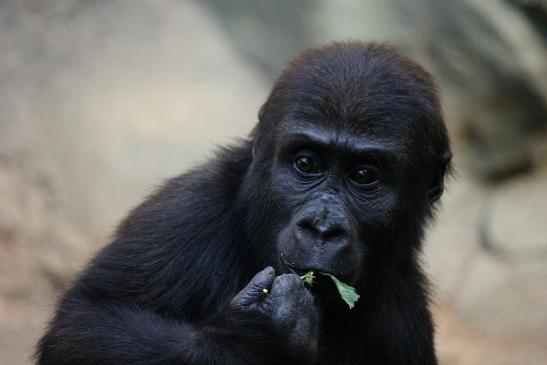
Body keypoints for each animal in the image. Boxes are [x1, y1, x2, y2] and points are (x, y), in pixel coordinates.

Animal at [36, 42, 452, 364]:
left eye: (364, 175)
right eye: (306, 164)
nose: (321, 228)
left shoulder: (406, 322)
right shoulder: (189, 210)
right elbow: (87, 322)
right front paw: (253, 339)